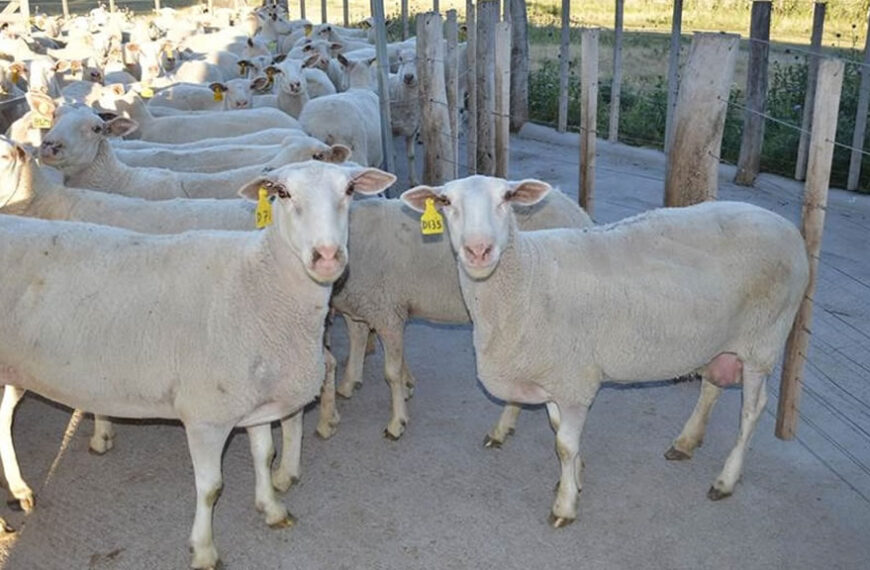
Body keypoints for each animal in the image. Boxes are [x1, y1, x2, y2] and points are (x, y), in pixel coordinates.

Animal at [0, 158, 398, 564]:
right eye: (282, 192)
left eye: (350, 190)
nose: (328, 256)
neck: (259, 282)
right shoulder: (207, 415)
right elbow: (211, 487)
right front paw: (204, 550)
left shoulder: (256, 403)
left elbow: (265, 454)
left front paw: (271, 508)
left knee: (4, 416)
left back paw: (20, 490)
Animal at [316, 189, 596, 442]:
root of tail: (579, 215)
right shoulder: (365, 305)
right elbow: (359, 341)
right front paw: (353, 384)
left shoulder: (386, 310)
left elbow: (390, 372)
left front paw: (397, 422)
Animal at [402, 175, 812, 524]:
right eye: (445, 201)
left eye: (506, 197)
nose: (478, 250)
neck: (527, 277)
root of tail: (787, 227)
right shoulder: (558, 375)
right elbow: (558, 430)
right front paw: (575, 478)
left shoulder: (574, 379)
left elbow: (564, 444)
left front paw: (565, 504)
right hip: (720, 338)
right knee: (712, 385)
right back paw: (685, 442)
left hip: (763, 340)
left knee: (751, 411)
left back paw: (725, 480)